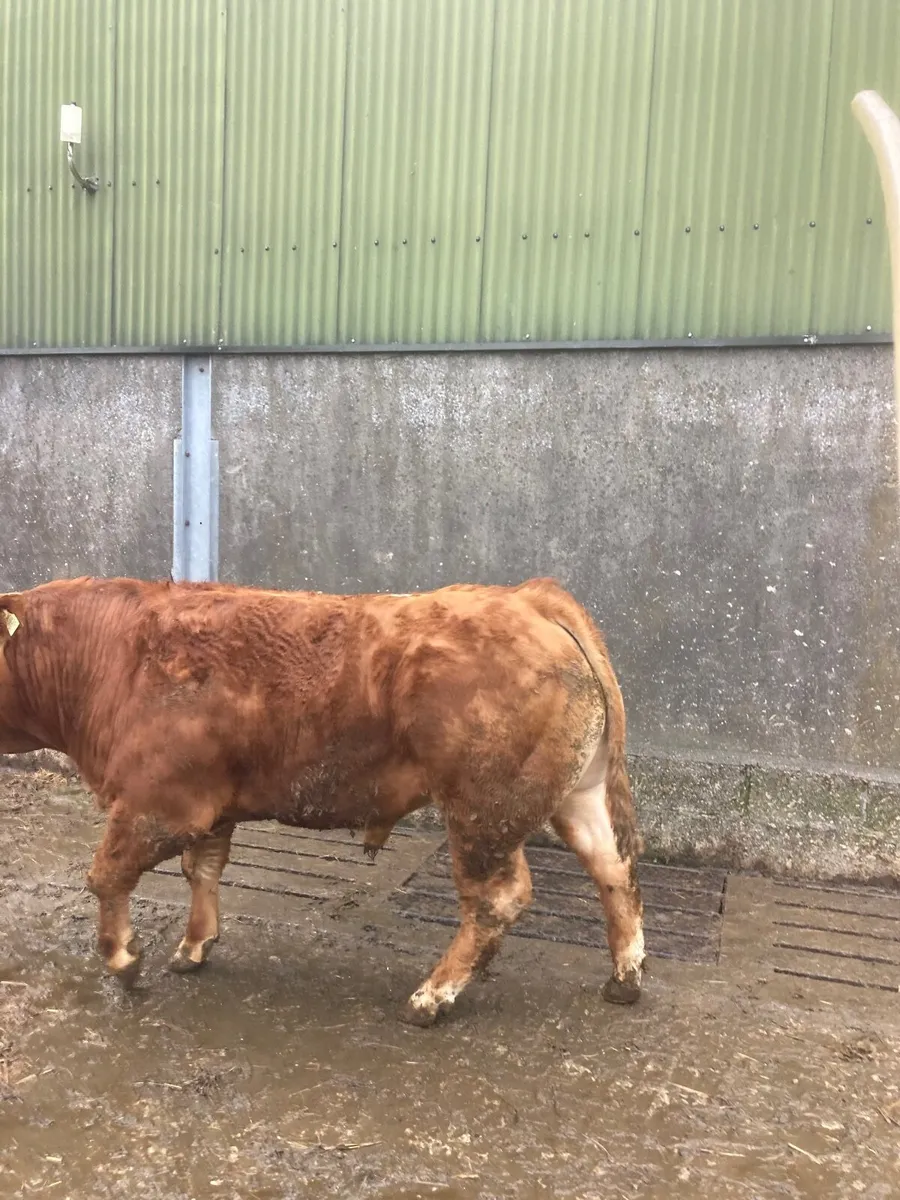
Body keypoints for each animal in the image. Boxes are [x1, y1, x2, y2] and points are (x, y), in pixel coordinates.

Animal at [0, 575, 644, 1025]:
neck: (115, 655)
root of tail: (528, 598)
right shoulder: (213, 807)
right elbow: (202, 869)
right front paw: (195, 945)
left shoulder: (159, 803)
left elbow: (106, 874)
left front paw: (123, 959)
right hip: (577, 796)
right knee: (614, 869)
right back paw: (625, 978)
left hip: (482, 814)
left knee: (497, 900)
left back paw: (431, 997)